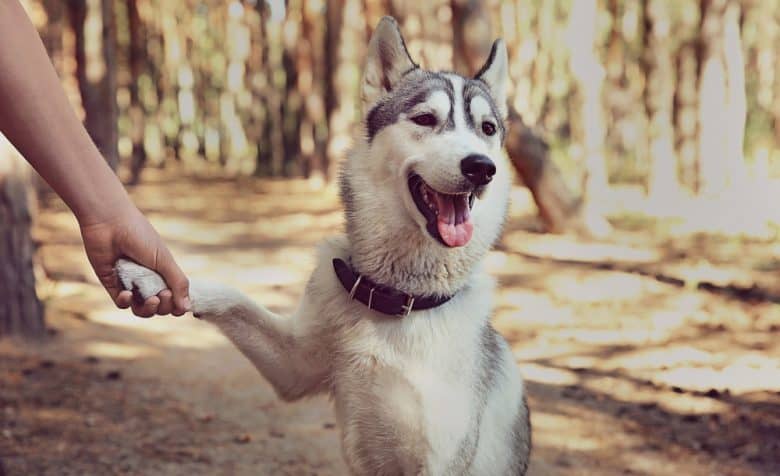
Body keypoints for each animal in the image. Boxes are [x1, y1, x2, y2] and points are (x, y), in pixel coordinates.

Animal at [116, 16, 532, 474]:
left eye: (488, 129)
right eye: (425, 118)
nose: (481, 167)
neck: (398, 298)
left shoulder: (440, 460)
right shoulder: (293, 366)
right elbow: (231, 296)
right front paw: (152, 276)